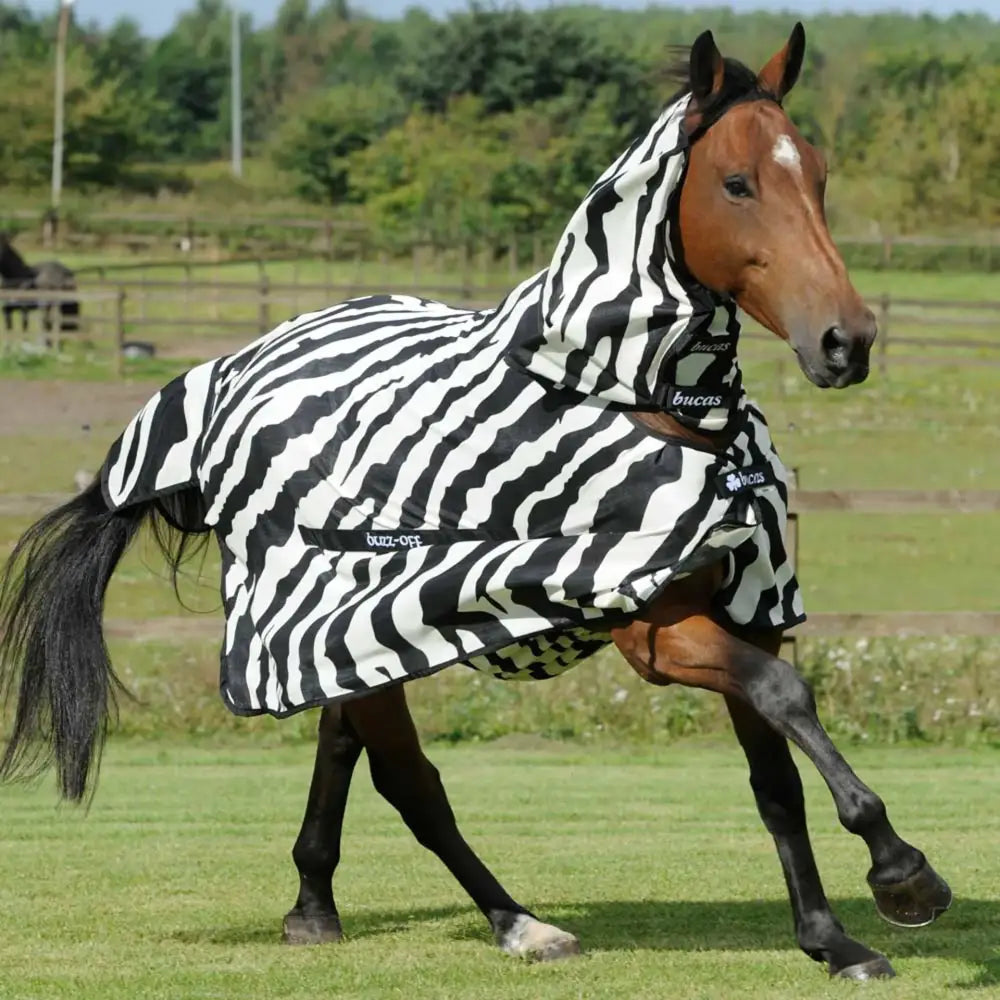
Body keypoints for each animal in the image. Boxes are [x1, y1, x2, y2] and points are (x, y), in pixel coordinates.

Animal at [0, 25, 952, 983]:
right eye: (736, 183)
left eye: (819, 175)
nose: (846, 341)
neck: (646, 404)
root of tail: (226, 378)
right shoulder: (657, 627)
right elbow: (788, 697)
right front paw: (902, 871)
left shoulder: (748, 609)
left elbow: (776, 777)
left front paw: (831, 938)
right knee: (410, 783)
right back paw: (517, 922)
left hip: (347, 629)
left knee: (345, 747)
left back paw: (315, 906)